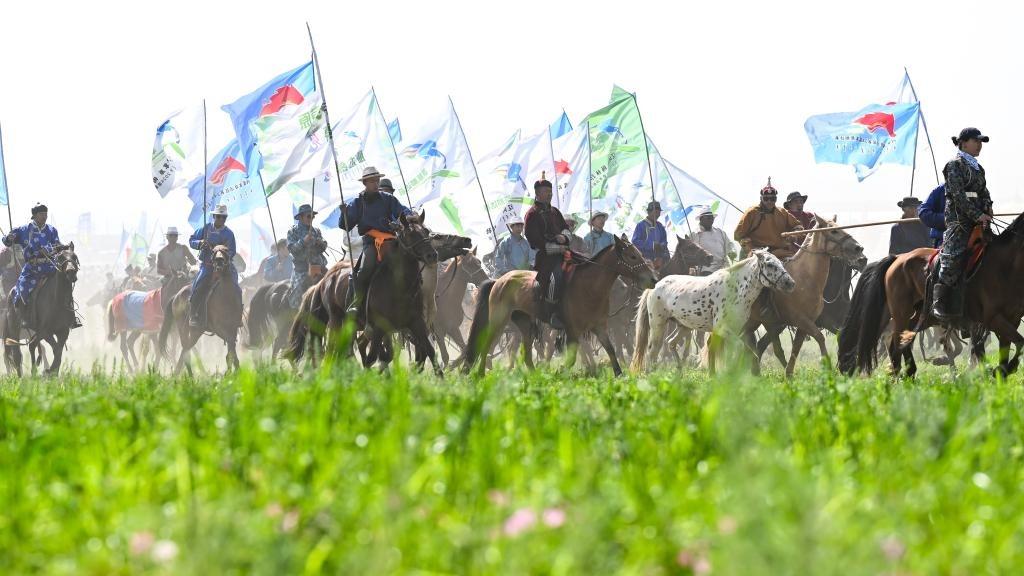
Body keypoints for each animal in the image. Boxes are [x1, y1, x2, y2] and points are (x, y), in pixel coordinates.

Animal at [157, 243, 245, 375]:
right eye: (213, 251)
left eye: (226, 250)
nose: (219, 262)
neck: (226, 296)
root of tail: (177, 295)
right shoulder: (219, 328)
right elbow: (230, 348)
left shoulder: (233, 328)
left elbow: (231, 351)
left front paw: (234, 372)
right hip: (183, 327)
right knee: (186, 349)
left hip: (196, 331)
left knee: (187, 348)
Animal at [464, 233, 655, 377]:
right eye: (632, 256)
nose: (652, 279)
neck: (589, 286)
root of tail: (499, 281)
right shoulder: (573, 330)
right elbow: (571, 359)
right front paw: (560, 373)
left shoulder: (599, 327)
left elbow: (611, 350)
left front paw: (619, 374)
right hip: (499, 320)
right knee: (487, 344)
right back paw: (480, 374)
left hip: (524, 323)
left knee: (526, 354)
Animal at [626, 249, 794, 375]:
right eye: (770, 264)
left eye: (780, 262)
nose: (790, 283)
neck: (735, 289)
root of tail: (655, 285)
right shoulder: (722, 329)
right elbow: (737, 348)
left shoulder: (737, 329)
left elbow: (747, 351)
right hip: (658, 326)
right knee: (652, 351)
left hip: (683, 326)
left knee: (671, 342)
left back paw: (679, 371)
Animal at [741, 215, 868, 377]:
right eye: (833, 231)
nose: (860, 251)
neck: (806, 279)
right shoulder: (801, 320)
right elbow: (820, 337)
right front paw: (827, 366)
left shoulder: (807, 323)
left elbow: (796, 347)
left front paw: (789, 374)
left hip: (759, 322)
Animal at [835, 215, 1024, 377]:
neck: (1003, 266)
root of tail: (897, 258)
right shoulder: (992, 318)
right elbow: (1018, 343)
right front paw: (1002, 369)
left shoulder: (1011, 319)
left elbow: (1010, 347)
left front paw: (1001, 372)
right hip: (901, 313)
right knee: (895, 342)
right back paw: (900, 374)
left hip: (916, 316)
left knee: (899, 341)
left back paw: (909, 373)